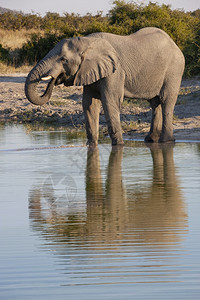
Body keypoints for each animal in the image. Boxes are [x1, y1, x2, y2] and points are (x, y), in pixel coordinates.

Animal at [24, 27, 184, 146]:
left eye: (63, 59)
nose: (55, 78)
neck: (87, 42)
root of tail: (175, 44)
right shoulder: (89, 70)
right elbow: (89, 104)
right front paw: (92, 146)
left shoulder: (115, 71)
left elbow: (109, 101)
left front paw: (119, 146)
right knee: (154, 102)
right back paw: (151, 140)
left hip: (174, 69)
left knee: (166, 100)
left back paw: (167, 141)